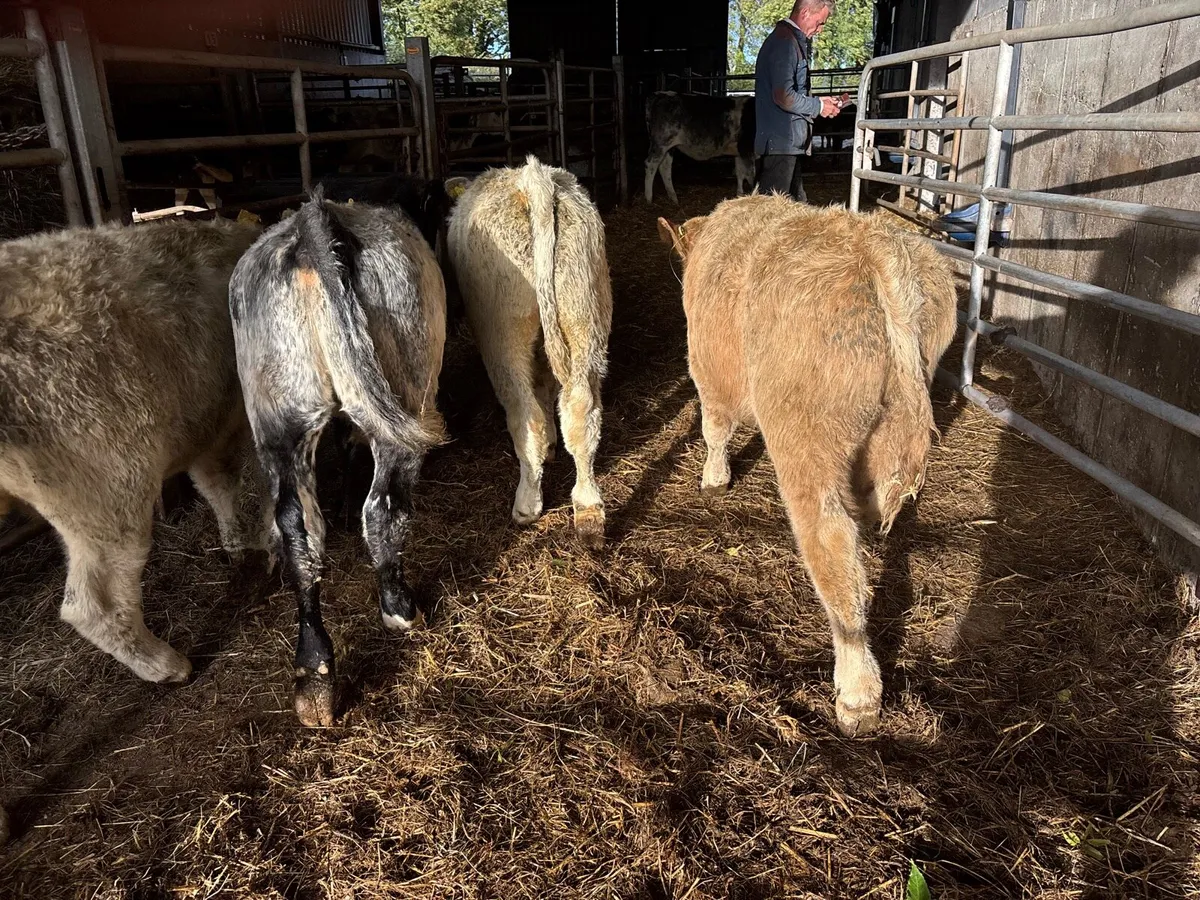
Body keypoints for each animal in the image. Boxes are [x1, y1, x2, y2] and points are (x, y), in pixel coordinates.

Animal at [0, 216, 266, 687]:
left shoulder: (206, 425)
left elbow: (216, 485)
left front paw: (236, 544)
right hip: (107, 487)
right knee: (94, 605)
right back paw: (167, 666)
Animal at [229, 187, 447, 728]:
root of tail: (313, 220)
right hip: (403, 394)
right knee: (384, 508)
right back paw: (400, 609)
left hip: (279, 416)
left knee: (298, 528)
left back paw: (313, 675)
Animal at [446, 156, 612, 549]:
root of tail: (532, 179)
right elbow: (547, 386)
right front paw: (552, 443)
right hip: (583, 317)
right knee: (580, 408)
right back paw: (588, 512)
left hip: (503, 334)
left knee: (525, 415)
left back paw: (527, 503)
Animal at [658, 195, 958, 736]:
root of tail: (872, 246)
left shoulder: (708, 373)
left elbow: (714, 429)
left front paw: (714, 478)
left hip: (807, 444)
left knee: (830, 539)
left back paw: (857, 691)